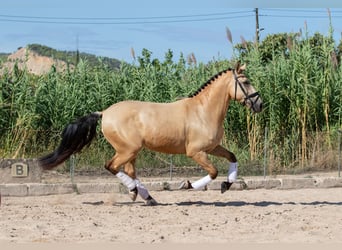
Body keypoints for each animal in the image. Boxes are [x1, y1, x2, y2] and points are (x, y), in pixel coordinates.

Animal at [40, 62, 264, 205]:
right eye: (245, 82)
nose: (260, 104)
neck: (203, 111)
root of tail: (104, 113)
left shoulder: (213, 147)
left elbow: (232, 157)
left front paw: (226, 184)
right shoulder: (196, 152)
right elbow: (213, 171)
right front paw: (187, 184)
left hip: (131, 152)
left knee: (128, 171)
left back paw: (145, 196)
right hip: (128, 150)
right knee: (111, 166)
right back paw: (136, 192)